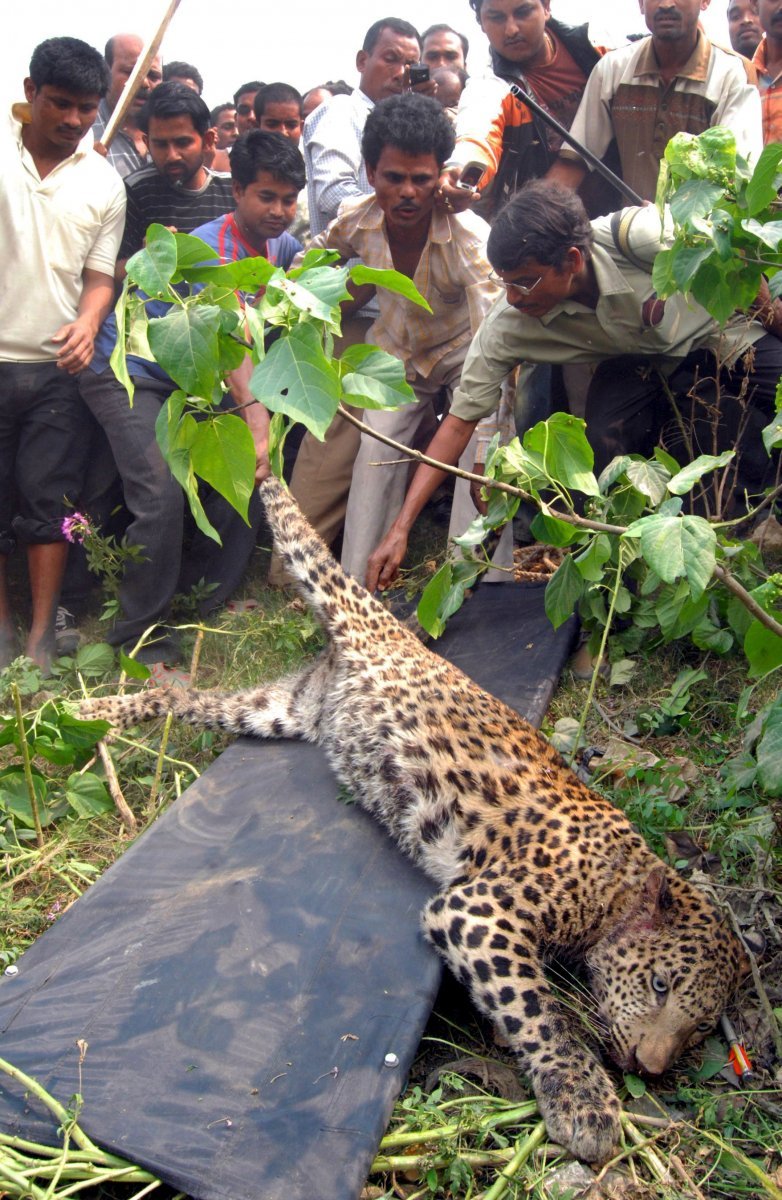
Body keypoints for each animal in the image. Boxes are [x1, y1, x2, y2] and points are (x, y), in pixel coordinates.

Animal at [80, 475, 753, 1161]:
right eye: (661, 986)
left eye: (700, 1027)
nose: (650, 1066)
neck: (622, 880)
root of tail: (391, 635)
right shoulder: (480, 911)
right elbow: (541, 1010)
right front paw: (584, 1100)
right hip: (330, 594)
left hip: (275, 710)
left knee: (180, 697)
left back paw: (97, 713)